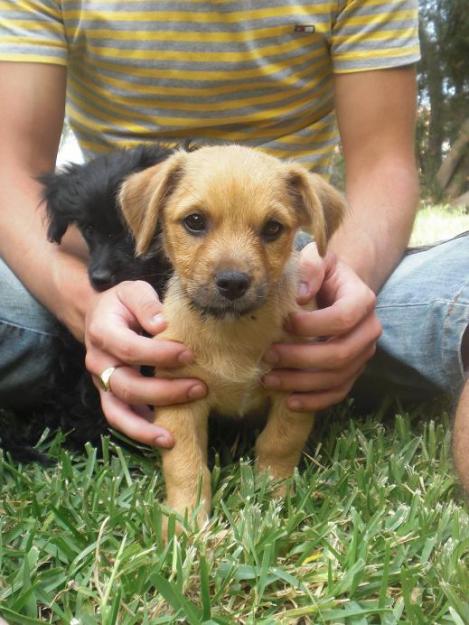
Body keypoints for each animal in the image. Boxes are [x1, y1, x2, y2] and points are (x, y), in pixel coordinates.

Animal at [119, 145, 344, 528]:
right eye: (195, 221)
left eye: (272, 228)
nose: (233, 283)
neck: (233, 330)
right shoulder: (181, 401)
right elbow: (187, 466)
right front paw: (186, 523)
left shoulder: (294, 393)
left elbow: (279, 444)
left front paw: (273, 501)